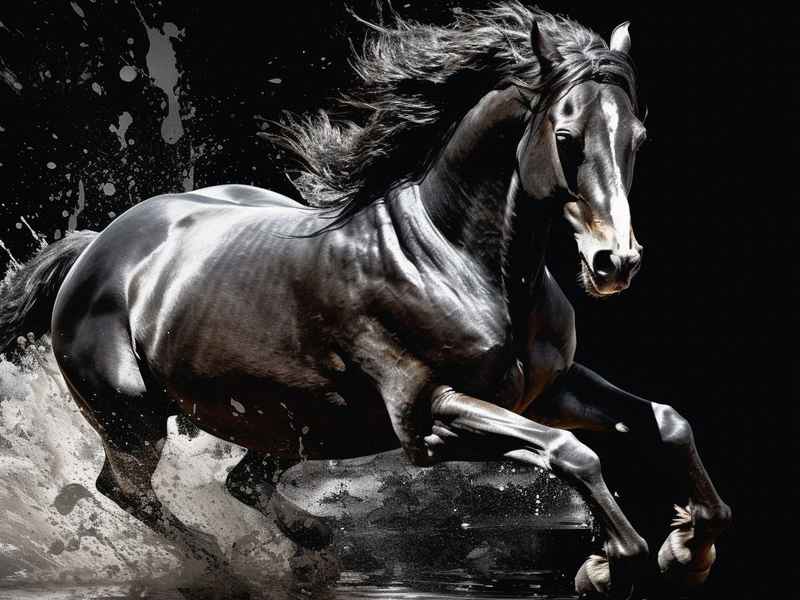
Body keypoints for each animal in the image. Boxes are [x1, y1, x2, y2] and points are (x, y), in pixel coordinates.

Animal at [0, 4, 730, 597]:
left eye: (637, 138)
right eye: (566, 137)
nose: (616, 263)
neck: (462, 261)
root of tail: (95, 248)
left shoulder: (550, 389)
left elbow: (665, 422)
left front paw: (687, 548)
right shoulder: (429, 421)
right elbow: (569, 452)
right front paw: (607, 564)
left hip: (286, 421)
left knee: (245, 482)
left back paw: (314, 547)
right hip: (134, 419)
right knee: (123, 487)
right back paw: (218, 560)